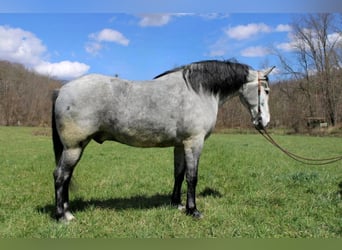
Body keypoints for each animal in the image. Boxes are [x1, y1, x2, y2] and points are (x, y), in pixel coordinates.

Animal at [51, 60, 276, 221]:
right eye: (266, 90)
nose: (264, 121)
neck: (198, 92)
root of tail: (62, 90)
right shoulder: (194, 143)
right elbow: (192, 177)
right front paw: (193, 210)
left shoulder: (180, 145)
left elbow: (179, 174)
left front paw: (177, 204)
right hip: (74, 147)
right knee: (61, 176)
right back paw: (64, 216)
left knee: (65, 177)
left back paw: (66, 211)